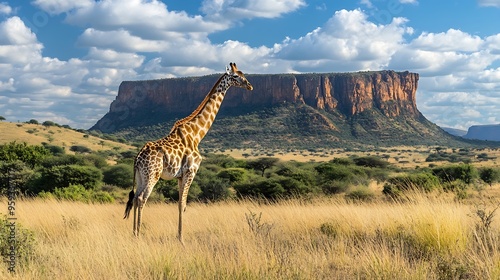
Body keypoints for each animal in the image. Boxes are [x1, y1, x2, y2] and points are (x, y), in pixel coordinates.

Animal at [123, 62, 252, 244]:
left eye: (243, 74)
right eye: (235, 76)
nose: (249, 85)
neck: (197, 134)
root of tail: (137, 158)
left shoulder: (180, 175)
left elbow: (179, 204)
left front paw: (179, 236)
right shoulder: (191, 171)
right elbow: (183, 205)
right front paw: (181, 239)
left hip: (141, 176)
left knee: (134, 198)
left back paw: (134, 234)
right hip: (152, 175)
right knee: (142, 198)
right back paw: (139, 234)